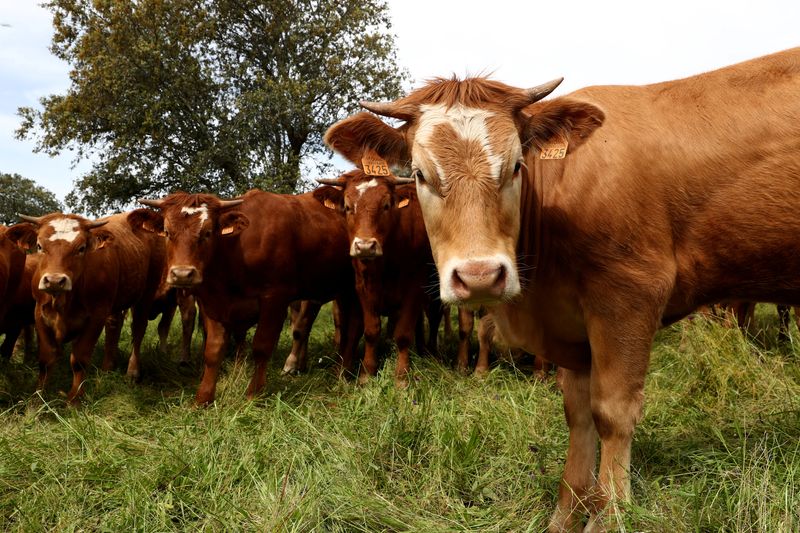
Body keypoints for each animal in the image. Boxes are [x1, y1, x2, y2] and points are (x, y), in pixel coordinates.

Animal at [10, 212, 169, 403]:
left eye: (81, 248)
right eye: (40, 246)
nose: (55, 280)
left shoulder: (96, 316)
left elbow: (79, 359)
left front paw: (74, 399)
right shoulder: (40, 313)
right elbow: (46, 359)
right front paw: (38, 397)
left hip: (146, 293)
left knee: (138, 329)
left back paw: (132, 372)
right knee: (114, 326)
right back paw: (107, 368)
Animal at [133, 190, 361, 405]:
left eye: (208, 232)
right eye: (167, 232)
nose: (182, 274)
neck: (235, 250)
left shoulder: (275, 298)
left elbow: (262, 346)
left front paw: (253, 394)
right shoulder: (213, 303)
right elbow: (213, 350)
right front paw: (203, 398)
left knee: (353, 329)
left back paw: (344, 372)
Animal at [315, 169, 440, 386]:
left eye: (386, 205)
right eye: (347, 207)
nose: (365, 246)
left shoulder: (414, 288)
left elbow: (403, 333)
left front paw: (401, 376)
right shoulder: (364, 288)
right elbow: (371, 330)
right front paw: (367, 372)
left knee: (433, 318)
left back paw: (429, 353)